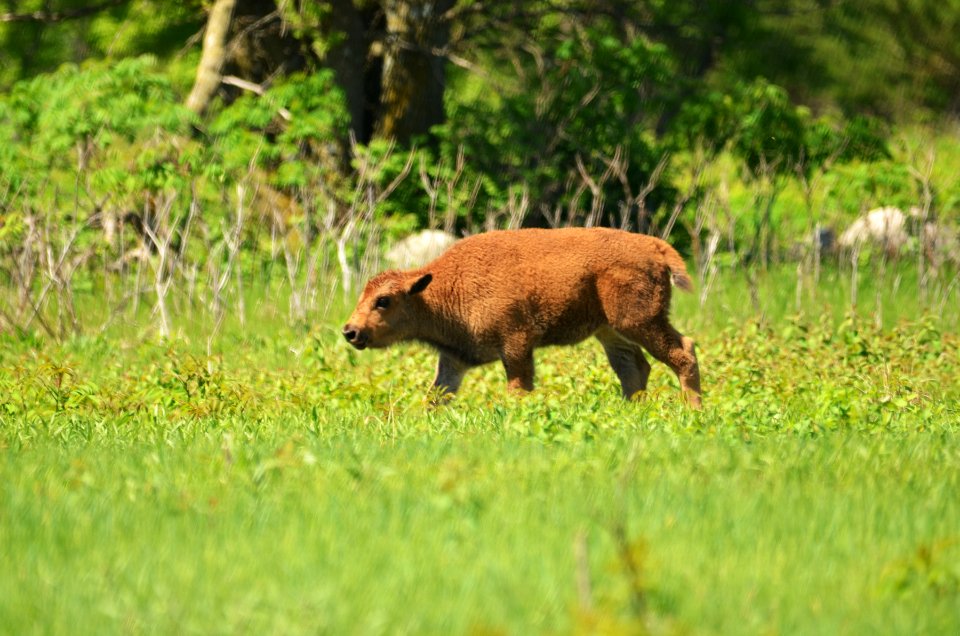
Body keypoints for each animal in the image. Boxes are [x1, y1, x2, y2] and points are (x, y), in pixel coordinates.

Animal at [342, 227, 700, 408]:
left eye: (383, 301)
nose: (350, 331)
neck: (438, 289)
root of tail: (655, 247)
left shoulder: (515, 345)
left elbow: (518, 388)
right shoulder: (455, 358)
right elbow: (437, 395)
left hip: (639, 322)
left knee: (683, 352)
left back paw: (692, 410)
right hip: (611, 331)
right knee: (634, 367)